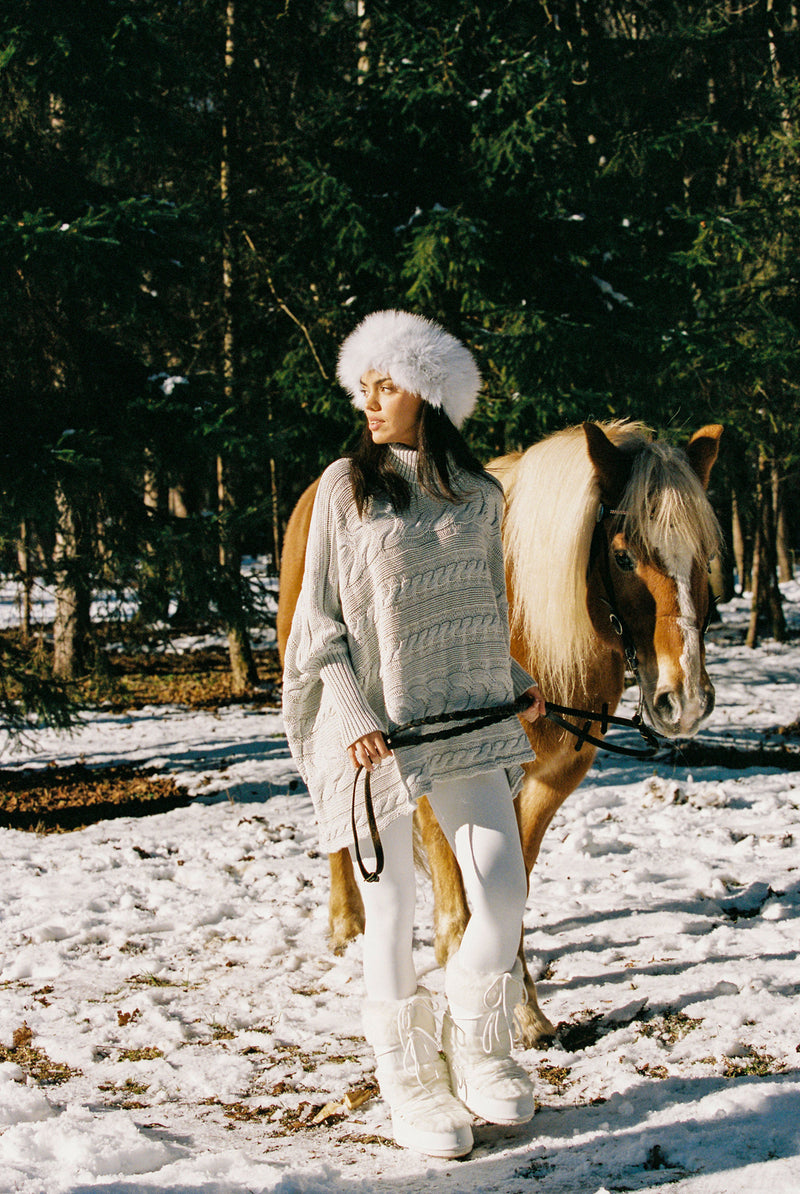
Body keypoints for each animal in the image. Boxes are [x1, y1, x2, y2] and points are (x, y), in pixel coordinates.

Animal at [279, 420, 725, 1045]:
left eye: (706, 556)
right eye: (622, 556)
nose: (683, 700)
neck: (530, 626)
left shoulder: (551, 777)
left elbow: (514, 881)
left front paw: (522, 1004)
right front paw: (487, 988)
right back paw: (348, 924)